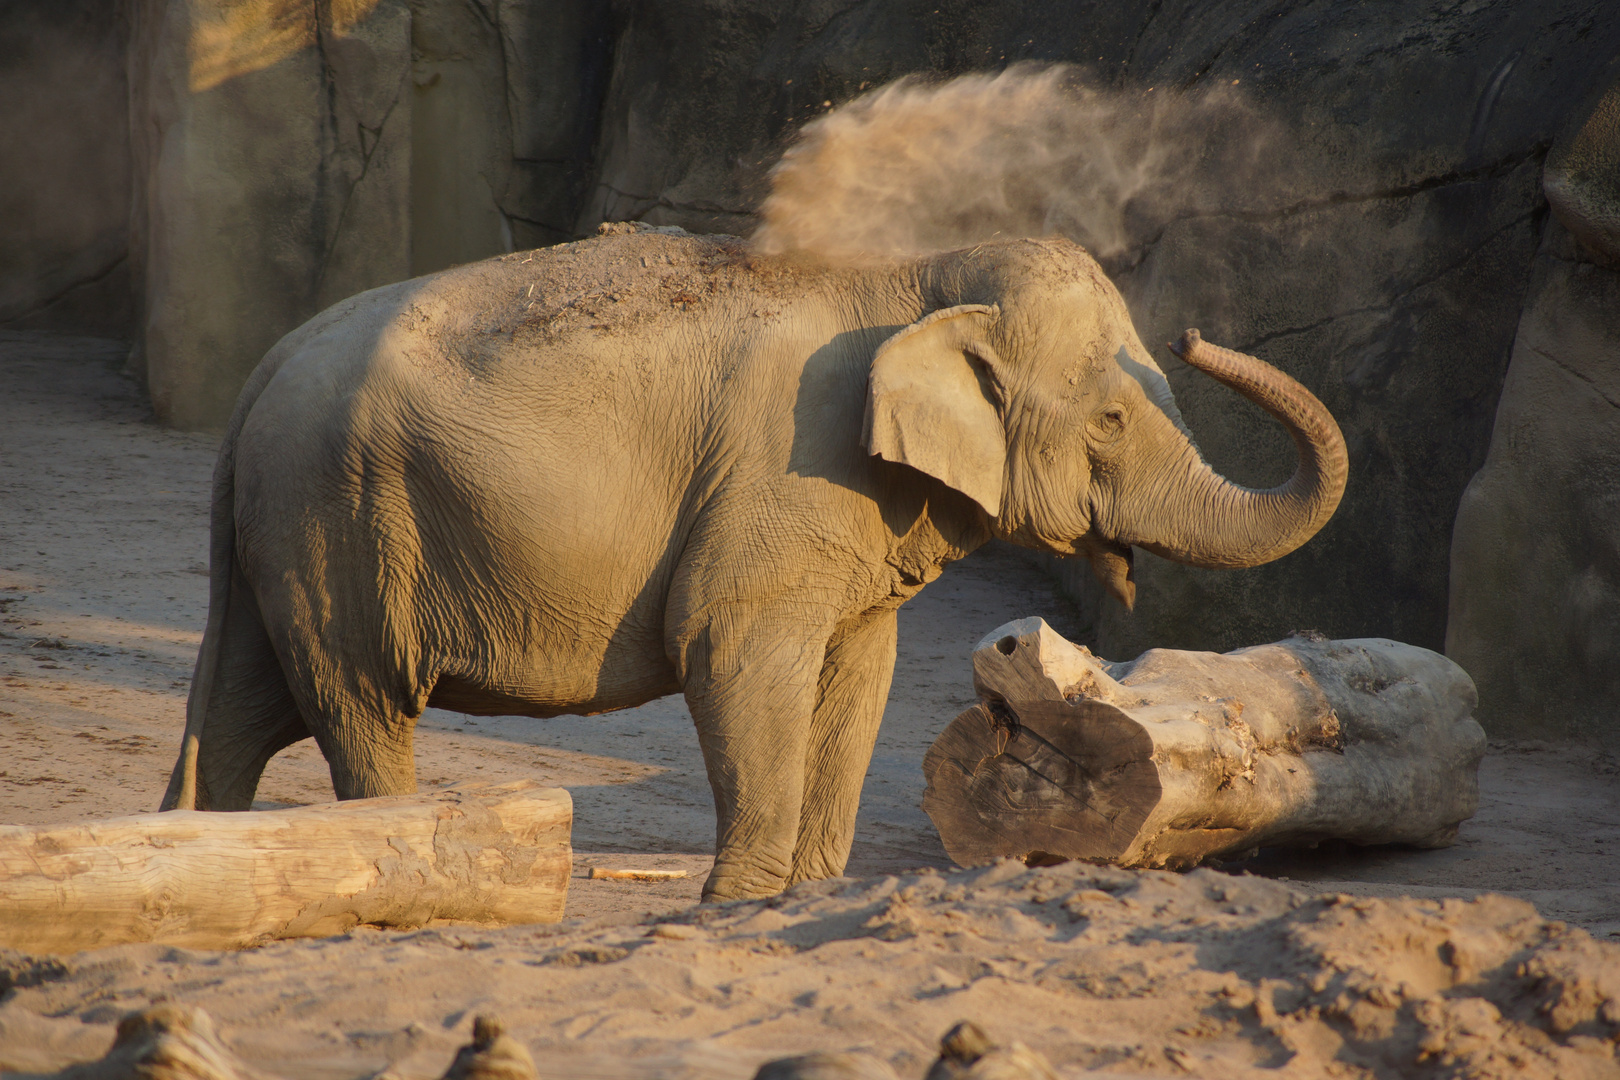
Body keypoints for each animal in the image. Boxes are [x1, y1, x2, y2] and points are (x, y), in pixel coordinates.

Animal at [164, 223, 1347, 900]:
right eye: (1110, 415)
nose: (1196, 333)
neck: (910, 280)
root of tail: (260, 376)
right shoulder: (785, 475)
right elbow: (731, 649)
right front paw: (736, 904)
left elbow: (859, 673)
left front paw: (800, 900)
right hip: (339, 525)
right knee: (359, 702)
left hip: (283, 538)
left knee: (244, 708)